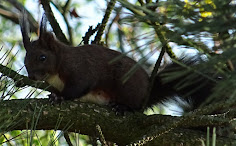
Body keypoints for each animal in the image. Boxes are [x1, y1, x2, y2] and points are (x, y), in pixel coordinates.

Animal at [19, 15, 215, 112]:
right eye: (25, 60)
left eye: (42, 57)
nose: (32, 76)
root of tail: (146, 93)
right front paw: (54, 95)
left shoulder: (80, 69)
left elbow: (79, 87)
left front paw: (60, 97)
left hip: (128, 88)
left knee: (136, 108)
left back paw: (123, 107)